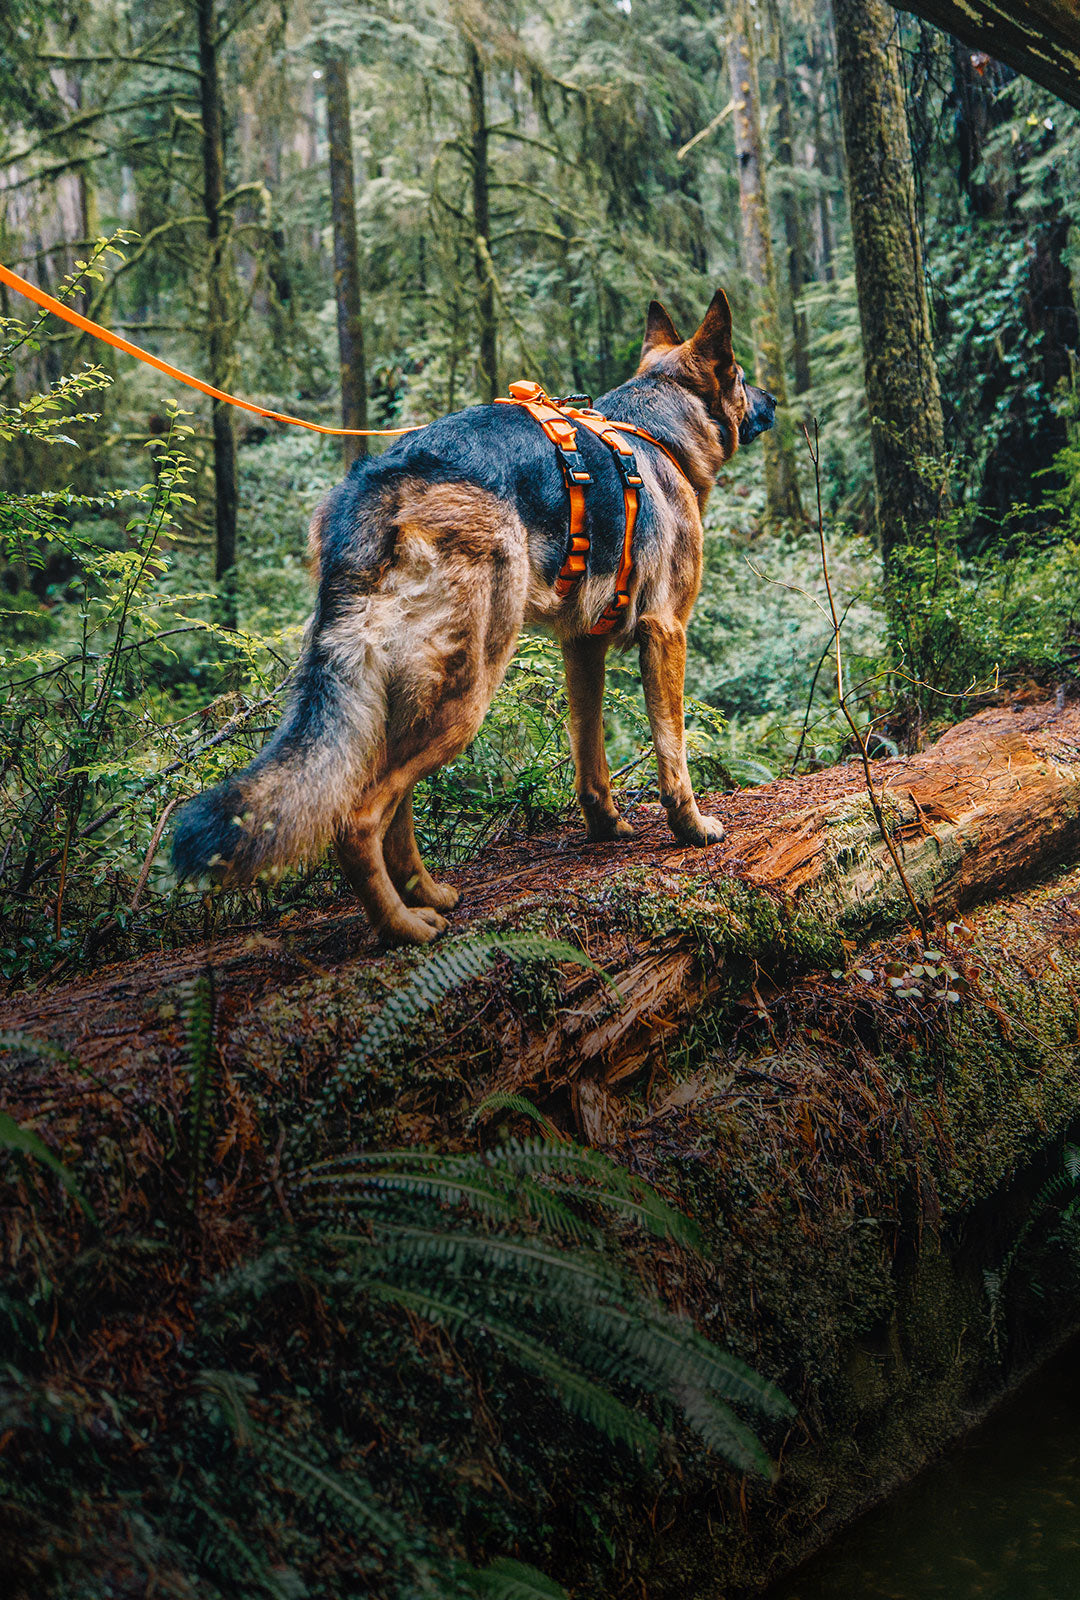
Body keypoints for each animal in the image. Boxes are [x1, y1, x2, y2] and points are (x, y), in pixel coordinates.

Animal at [173, 289, 774, 940]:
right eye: (742, 376)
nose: (774, 402)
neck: (655, 430)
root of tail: (380, 487)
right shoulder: (667, 633)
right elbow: (673, 750)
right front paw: (691, 829)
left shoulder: (581, 647)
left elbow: (589, 757)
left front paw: (606, 827)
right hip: (466, 693)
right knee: (358, 819)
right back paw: (403, 928)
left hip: (405, 694)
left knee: (394, 807)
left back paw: (428, 894)